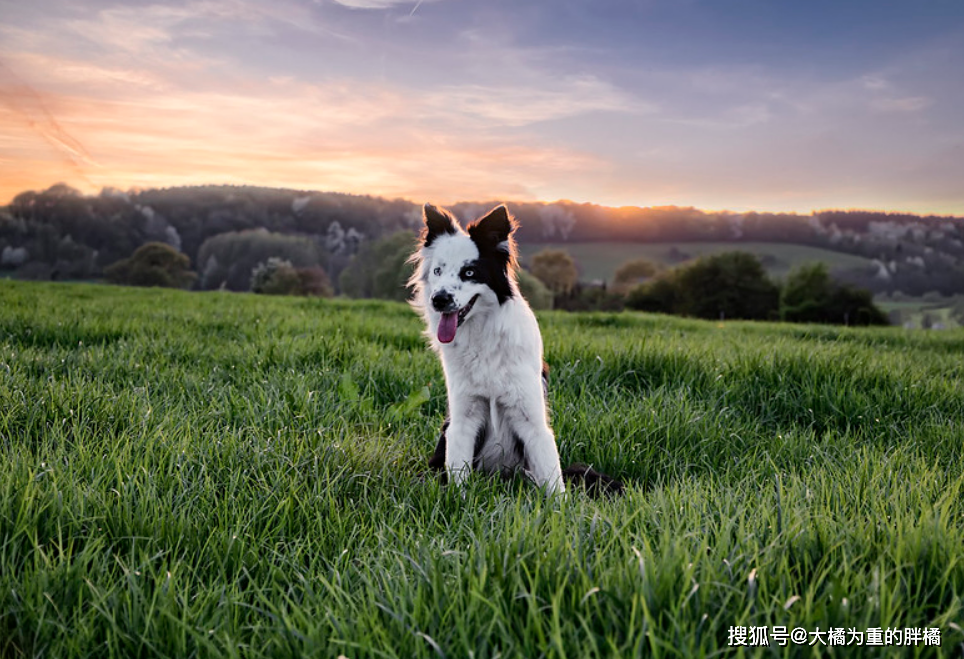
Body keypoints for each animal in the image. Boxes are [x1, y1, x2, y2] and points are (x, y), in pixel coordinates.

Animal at [408, 204, 624, 498]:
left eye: (469, 272)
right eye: (438, 271)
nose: (439, 300)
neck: (483, 337)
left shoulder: (531, 419)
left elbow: (554, 481)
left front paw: (560, 507)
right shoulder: (462, 419)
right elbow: (458, 476)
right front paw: (458, 502)